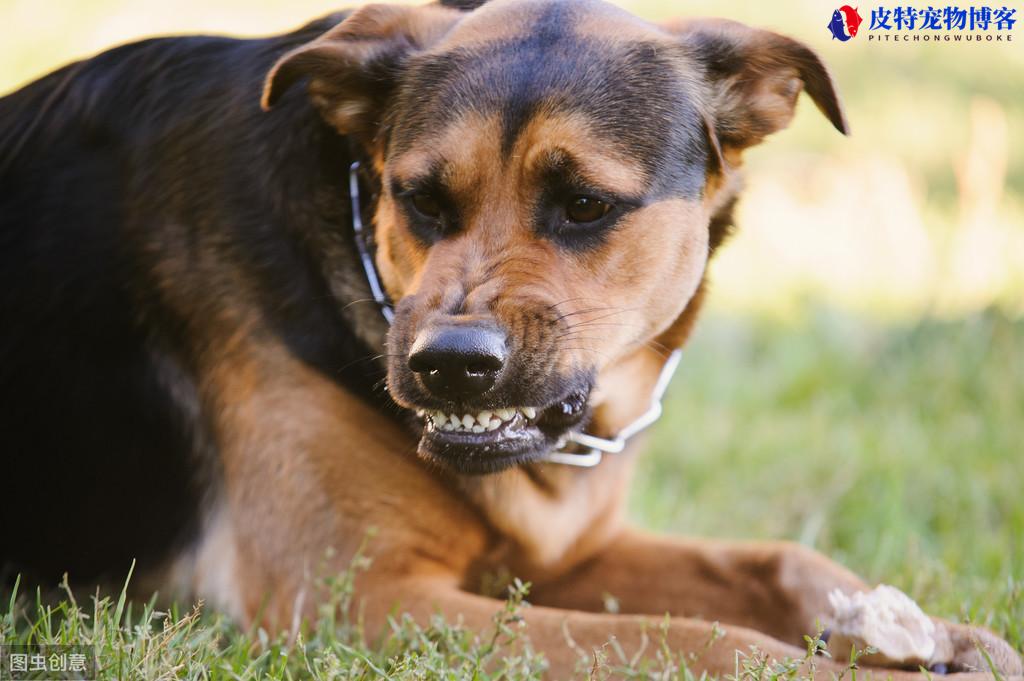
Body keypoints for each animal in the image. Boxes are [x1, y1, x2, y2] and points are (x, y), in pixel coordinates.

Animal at [0, 0, 1019, 675]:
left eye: (585, 204)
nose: (448, 366)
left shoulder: (565, 553)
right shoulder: (358, 599)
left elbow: (773, 558)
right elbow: (697, 642)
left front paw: (937, 634)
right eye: (420, 199)